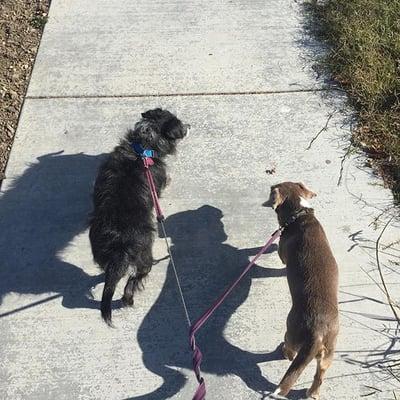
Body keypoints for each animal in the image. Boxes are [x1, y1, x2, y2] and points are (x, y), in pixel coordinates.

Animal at [90, 108, 190, 324]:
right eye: (179, 124)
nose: (190, 126)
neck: (143, 147)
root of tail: (120, 244)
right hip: (144, 257)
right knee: (133, 280)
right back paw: (128, 300)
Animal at [266, 183, 338, 398]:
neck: (299, 214)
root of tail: (318, 332)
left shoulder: (282, 253)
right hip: (328, 355)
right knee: (319, 376)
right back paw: (313, 394)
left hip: (292, 331)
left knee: (290, 350)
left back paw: (284, 352)